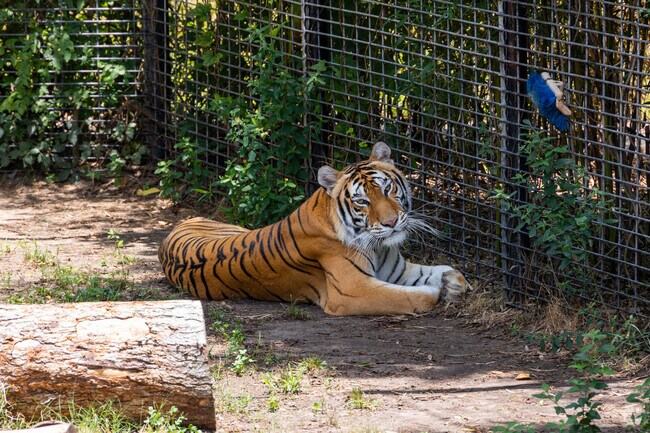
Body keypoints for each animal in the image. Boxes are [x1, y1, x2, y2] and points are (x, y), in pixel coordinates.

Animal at [158, 141, 471, 316]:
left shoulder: (396, 270)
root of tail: (176, 226)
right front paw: (436, 292)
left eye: (388, 189)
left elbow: (438, 271)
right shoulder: (352, 291)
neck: (379, 247)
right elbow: (405, 295)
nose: (391, 222)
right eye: (362, 201)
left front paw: (454, 284)